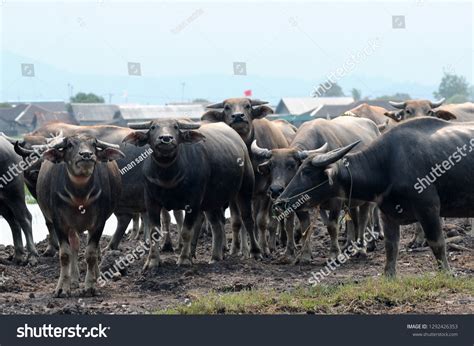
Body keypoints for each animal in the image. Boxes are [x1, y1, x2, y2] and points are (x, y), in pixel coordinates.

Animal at [36, 134, 124, 296]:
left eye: (94, 144)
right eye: (70, 145)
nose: (86, 155)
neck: (79, 196)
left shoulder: (99, 223)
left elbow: (91, 253)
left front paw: (90, 286)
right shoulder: (60, 223)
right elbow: (65, 254)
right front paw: (63, 288)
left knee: (91, 249)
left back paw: (95, 276)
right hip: (71, 227)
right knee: (74, 247)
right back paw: (73, 279)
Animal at [122, 119, 262, 268]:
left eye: (176, 127)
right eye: (153, 127)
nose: (166, 138)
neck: (168, 176)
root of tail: (242, 146)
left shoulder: (193, 202)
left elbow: (186, 232)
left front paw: (184, 259)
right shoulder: (151, 201)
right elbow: (154, 231)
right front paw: (152, 261)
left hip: (245, 189)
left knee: (247, 219)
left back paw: (255, 252)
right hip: (211, 201)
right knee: (217, 225)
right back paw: (215, 257)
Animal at [201, 97, 288, 254]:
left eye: (247, 106)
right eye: (227, 107)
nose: (238, 116)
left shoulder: (266, 191)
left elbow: (261, 221)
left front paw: (263, 248)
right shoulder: (234, 194)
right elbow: (236, 221)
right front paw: (235, 249)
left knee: (270, 220)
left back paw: (272, 244)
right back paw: (245, 249)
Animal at [258, 116, 380, 262]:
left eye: (291, 165)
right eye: (271, 166)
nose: (276, 190)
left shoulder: (336, 201)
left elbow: (332, 226)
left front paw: (334, 254)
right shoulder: (299, 203)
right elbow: (304, 225)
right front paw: (303, 255)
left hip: (366, 201)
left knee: (364, 220)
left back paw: (363, 248)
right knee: (353, 220)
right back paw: (350, 245)